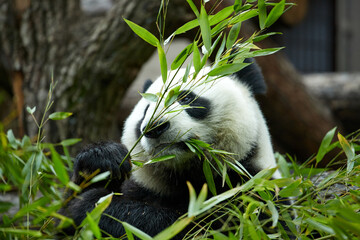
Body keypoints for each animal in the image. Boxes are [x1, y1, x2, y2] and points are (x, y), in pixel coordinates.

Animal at [59, 58, 282, 238]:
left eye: (186, 98)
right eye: (147, 109)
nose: (155, 127)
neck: (189, 179)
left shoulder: (255, 194)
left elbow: (191, 226)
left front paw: (92, 205)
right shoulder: (144, 188)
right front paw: (102, 160)